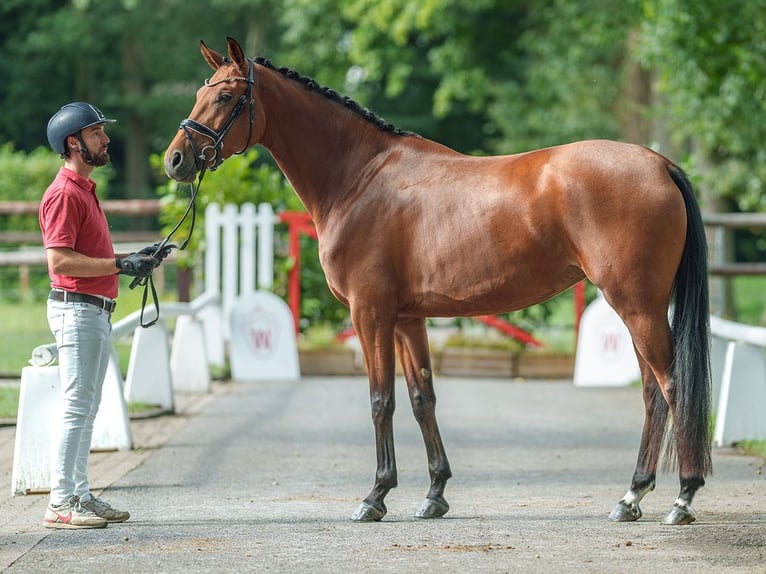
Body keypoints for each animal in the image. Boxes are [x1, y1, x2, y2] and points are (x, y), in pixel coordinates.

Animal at [165, 38, 716, 528]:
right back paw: (631, 497)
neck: (359, 178)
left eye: (226, 96)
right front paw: (433, 494)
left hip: (637, 306)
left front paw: (375, 496)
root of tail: (659, 164)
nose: (176, 160)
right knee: (652, 394)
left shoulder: (370, 314)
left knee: (672, 387)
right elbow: (420, 399)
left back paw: (683, 498)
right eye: (200, 91)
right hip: (638, 308)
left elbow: (380, 400)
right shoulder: (407, 320)